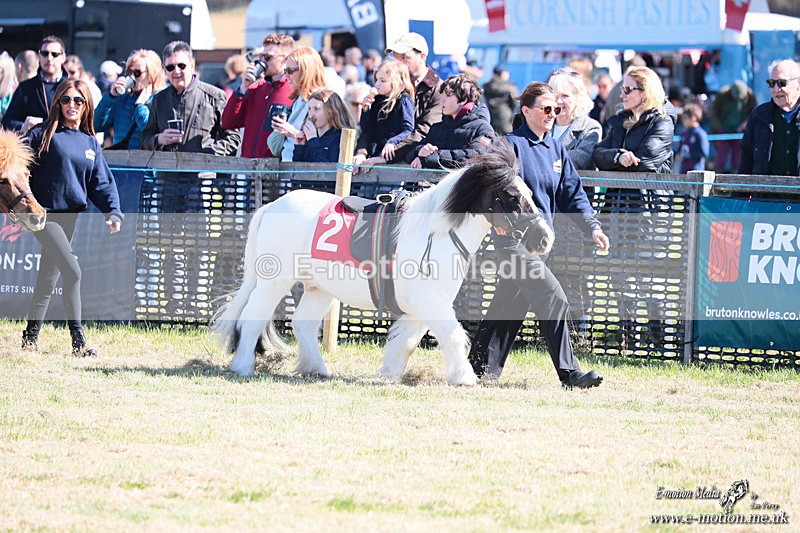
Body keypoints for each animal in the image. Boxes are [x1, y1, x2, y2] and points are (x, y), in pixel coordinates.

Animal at [212, 143, 555, 386]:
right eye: (511, 195)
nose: (544, 238)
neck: (434, 233)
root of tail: (270, 207)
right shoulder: (430, 299)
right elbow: (453, 335)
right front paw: (464, 378)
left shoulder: (422, 305)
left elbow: (406, 342)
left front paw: (390, 373)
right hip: (274, 282)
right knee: (252, 319)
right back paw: (243, 367)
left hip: (319, 288)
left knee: (303, 324)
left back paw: (316, 369)